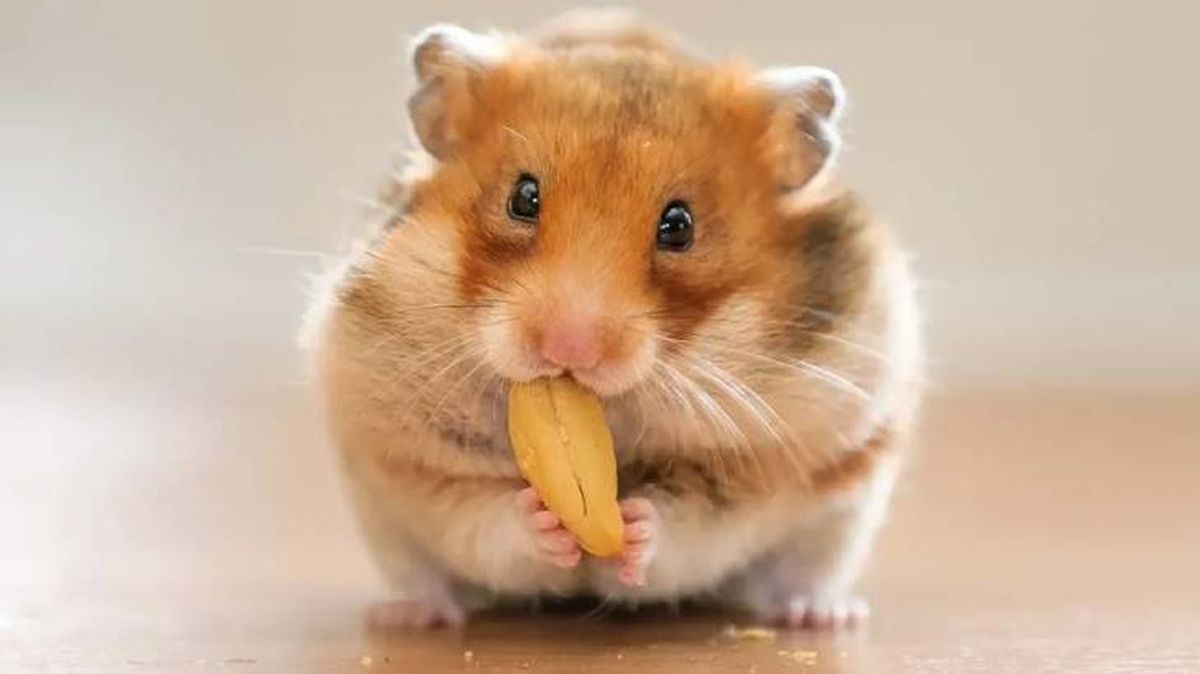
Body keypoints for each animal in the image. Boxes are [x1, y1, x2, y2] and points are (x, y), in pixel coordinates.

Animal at [306, 9, 922, 631]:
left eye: (679, 226)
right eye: (522, 198)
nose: (568, 351)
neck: (613, 414)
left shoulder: (764, 462)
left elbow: (691, 522)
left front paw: (635, 527)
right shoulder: (409, 453)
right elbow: (485, 516)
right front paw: (542, 519)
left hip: (843, 512)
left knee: (800, 574)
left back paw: (823, 616)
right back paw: (408, 616)